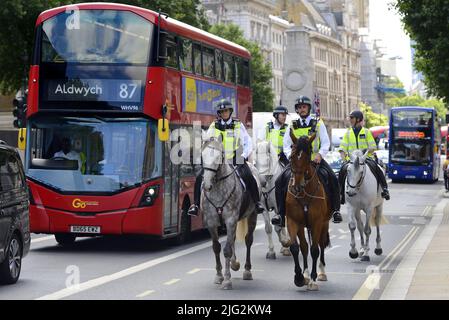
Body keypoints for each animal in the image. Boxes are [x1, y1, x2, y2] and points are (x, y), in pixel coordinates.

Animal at [200, 138, 260, 290]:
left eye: (219, 157)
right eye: (203, 156)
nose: (207, 185)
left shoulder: (231, 220)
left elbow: (226, 250)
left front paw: (227, 280)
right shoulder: (211, 222)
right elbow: (216, 247)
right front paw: (219, 276)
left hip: (253, 215)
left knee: (248, 240)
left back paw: (247, 270)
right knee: (232, 239)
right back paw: (234, 263)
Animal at [286, 131, 330, 292]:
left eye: (308, 155)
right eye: (291, 156)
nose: (296, 186)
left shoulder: (317, 222)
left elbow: (315, 250)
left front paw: (312, 280)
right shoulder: (293, 221)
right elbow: (296, 247)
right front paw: (300, 277)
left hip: (324, 223)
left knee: (321, 245)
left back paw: (321, 273)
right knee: (305, 246)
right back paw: (305, 274)